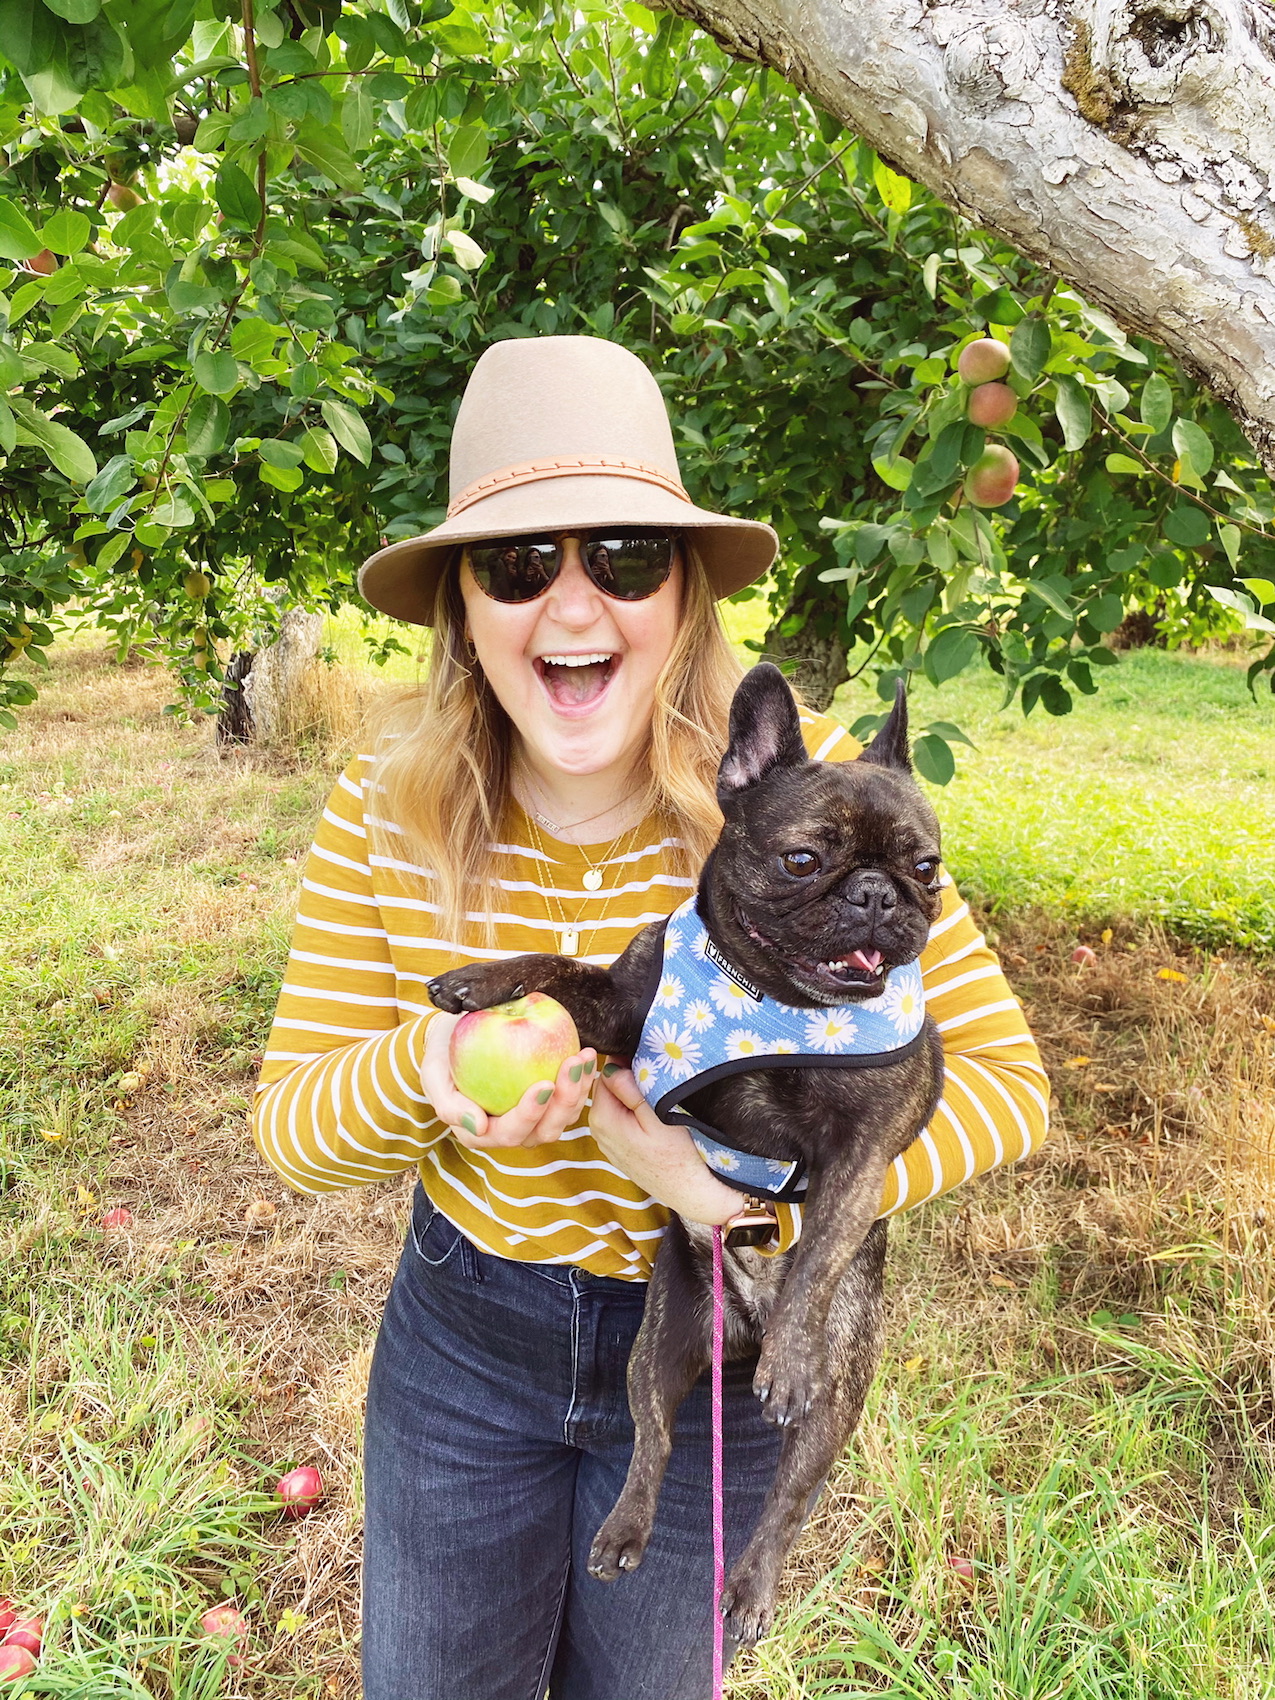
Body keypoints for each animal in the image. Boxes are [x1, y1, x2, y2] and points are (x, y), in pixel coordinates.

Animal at [430, 663, 952, 1645]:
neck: (771, 996)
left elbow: (817, 1250)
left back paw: (749, 1585)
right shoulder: (618, 1014)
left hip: (836, 1398)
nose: (877, 893)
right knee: (655, 1437)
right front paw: (482, 979)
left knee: (786, 1501)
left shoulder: (859, 1155)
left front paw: (791, 1350)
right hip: (661, 1339)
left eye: (926, 868)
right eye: (803, 860)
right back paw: (625, 1529)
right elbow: (559, 967)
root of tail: (736, 1327)